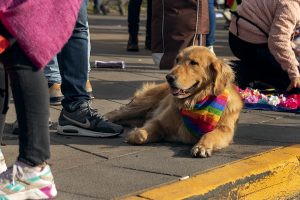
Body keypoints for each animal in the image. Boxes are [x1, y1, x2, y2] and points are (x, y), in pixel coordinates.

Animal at [105, 46, 244, 157]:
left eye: (194, 63)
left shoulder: (225, 130)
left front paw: (202, 146)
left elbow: (210, 134)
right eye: (177, 60)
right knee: (118, 112)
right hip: (143, 103)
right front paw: (137, 134)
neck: (195, 102)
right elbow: (147, 130)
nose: (169, 77)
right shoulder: (159, 121)